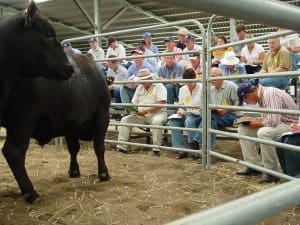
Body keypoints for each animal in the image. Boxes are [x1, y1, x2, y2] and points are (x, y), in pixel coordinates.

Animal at [0, 1, 110, 202]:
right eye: (48, 33)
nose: (69, 67)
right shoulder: (102, 113)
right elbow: (99, 147)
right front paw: (104, 174)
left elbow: (77, 148)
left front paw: (76, 171)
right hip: (24, 118)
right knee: (14, 151)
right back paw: (30, 192)